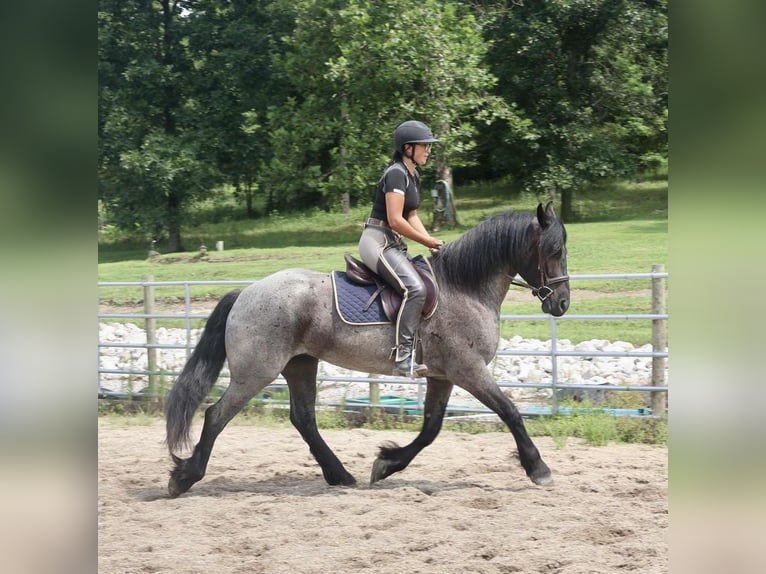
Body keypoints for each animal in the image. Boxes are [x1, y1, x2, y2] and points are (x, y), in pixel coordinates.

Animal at [165, 202, 569, 497]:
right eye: (553, 250)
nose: (563, 303)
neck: (464, 288)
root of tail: (246, 293)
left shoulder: (443, 376)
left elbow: (431, 428)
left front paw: (387, 464)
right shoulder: (468, 370)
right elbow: (510, 412)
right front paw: (539, 469)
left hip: (300, 364)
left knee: (303, 418)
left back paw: (340, 475)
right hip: (256, 372)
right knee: (216, 416)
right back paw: (184, 477)